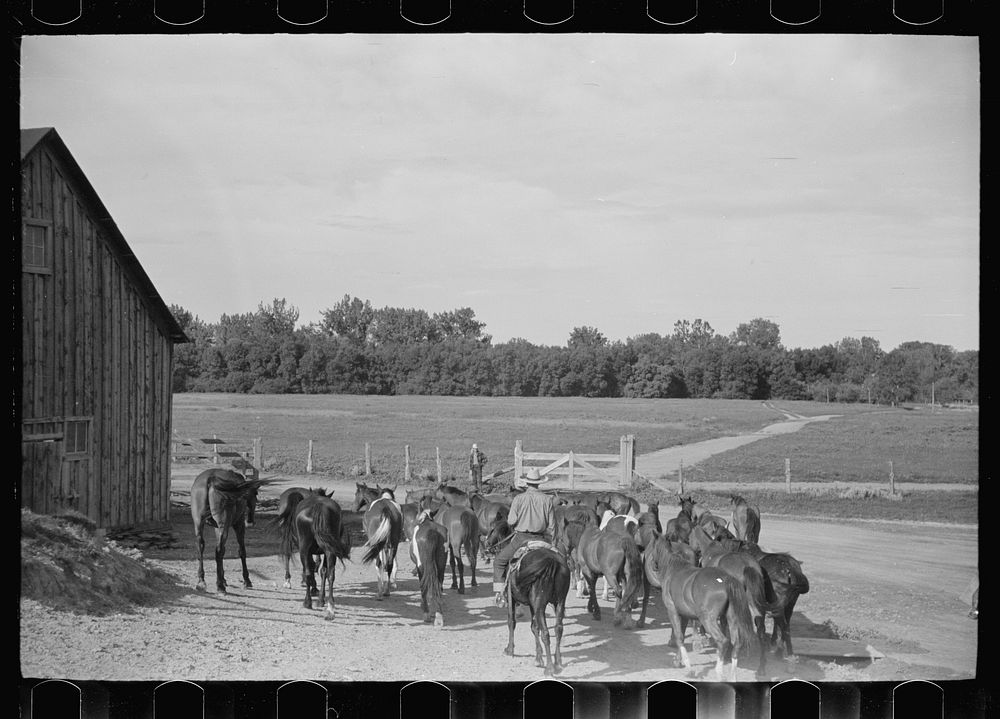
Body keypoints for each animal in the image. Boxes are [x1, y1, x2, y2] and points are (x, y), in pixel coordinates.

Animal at [500, 548, 572, 676]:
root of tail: (552, 561)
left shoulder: (511, 599)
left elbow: (512, 622)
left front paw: (509, 649)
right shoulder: (532, 605)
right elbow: (534, 627)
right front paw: (538, 658)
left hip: (540, 605)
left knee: (545, 633)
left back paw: (549, 668)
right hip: (560, 602)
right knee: (558, 629)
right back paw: (558, 662)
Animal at [636, 536, 760, 680]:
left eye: (653, 547)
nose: (653, 565)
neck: (673, 569)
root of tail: (726, 580)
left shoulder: (672, 610)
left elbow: (679, 636)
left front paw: (688, 668)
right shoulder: (684, 614)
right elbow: (682, 635)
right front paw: (678, 661)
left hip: (708, 620)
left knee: (723, 641)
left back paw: (719, 672)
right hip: (731, 618)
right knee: (736, 643)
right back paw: (732, 676)